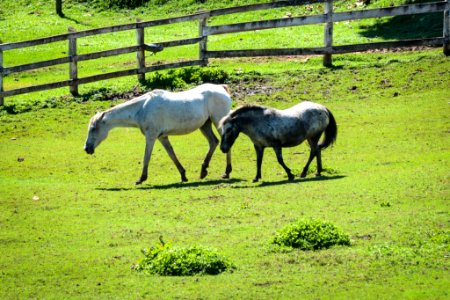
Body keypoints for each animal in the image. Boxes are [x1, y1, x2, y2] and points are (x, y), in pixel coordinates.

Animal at [83, 83, 232, 184]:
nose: (86, 148)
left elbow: (146, 157)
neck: (142, 108)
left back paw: (226, 172)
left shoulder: (151, 137)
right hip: (205, 125)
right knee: (214, 142)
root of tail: (221, 87)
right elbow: (172, 155)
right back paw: (203, 170)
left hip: (218, 121)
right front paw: (183, 175)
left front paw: (141, 178)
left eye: (94, 128)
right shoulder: (162, 137)